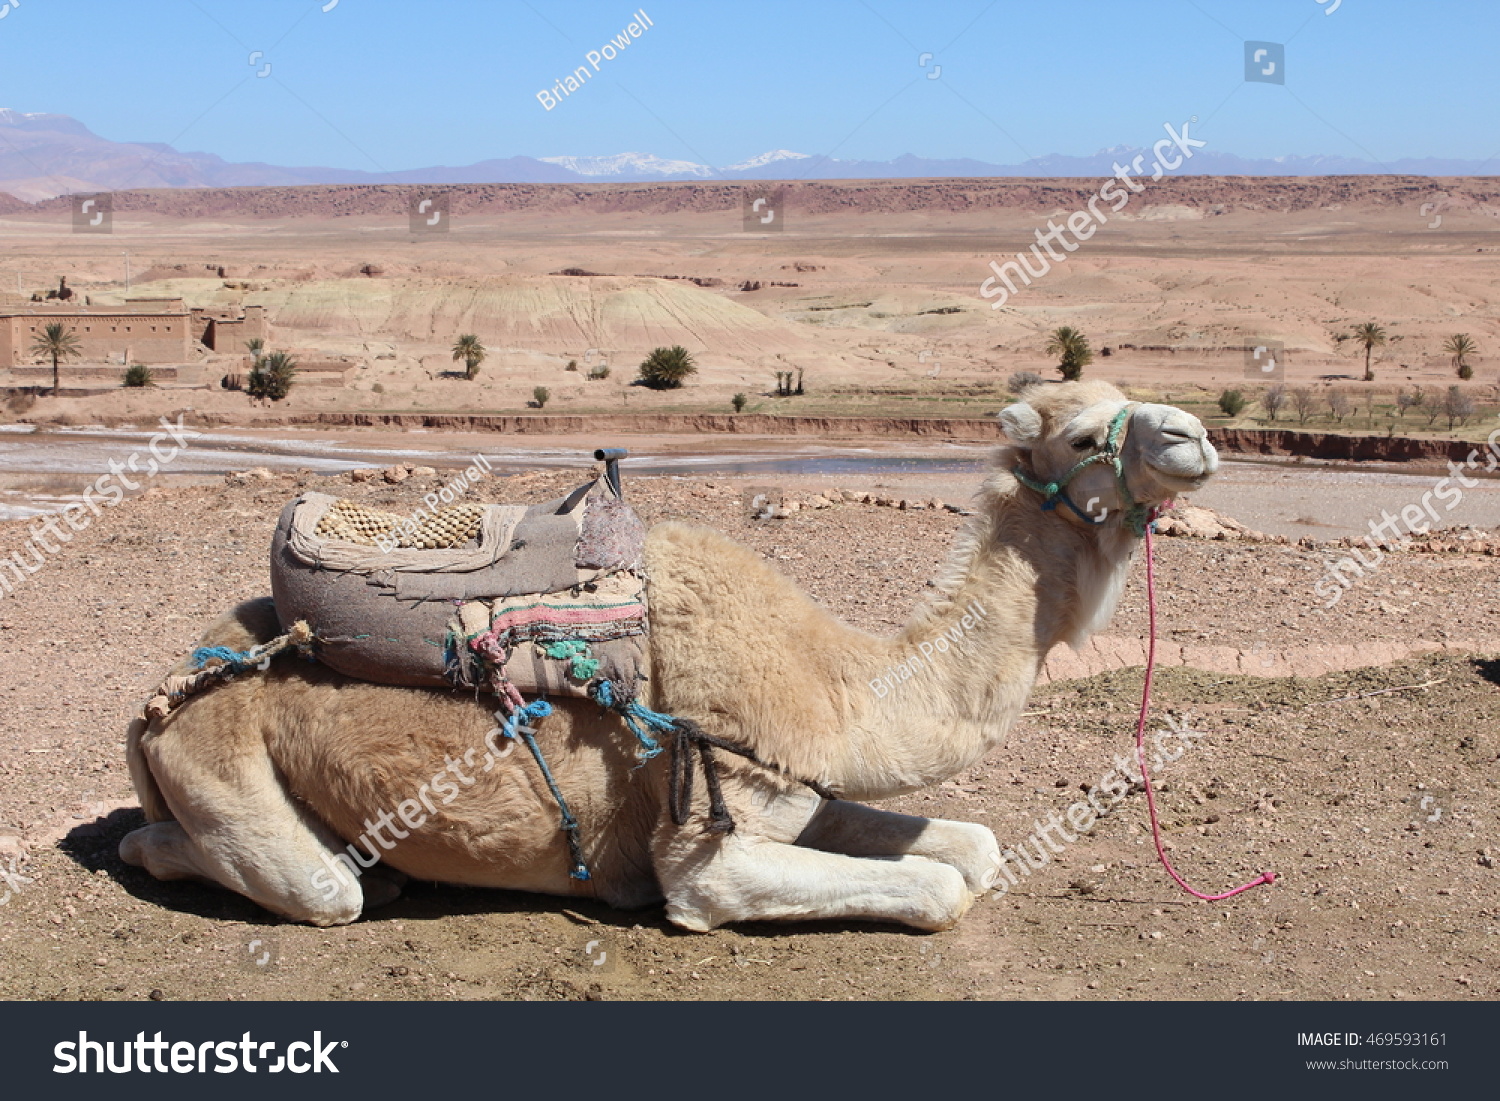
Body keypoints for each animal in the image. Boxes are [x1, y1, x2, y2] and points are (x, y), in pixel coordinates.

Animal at [117, 379, 1218, 930]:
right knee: (307, 886)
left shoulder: (795, 788)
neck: (838, 683)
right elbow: (940, 892)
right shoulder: (709, 842)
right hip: (222, 774)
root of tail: (155, 703)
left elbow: (975, 849)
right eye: (1082, 431)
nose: (1197, 436)